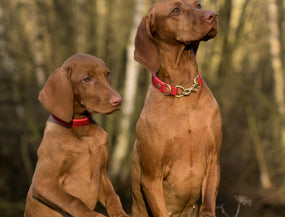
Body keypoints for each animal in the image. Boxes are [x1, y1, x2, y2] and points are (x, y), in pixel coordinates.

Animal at [24, 53, 129, 217]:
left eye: (108, 74)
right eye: (87, 79)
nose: (118, 100)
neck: (81, 130)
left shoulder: (103, 174)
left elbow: (113, 197)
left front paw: (120, 214)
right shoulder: (42, 182)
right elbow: (73, 201)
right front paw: (94, 215)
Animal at [131, 0, 222, 217]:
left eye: (198, 4)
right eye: (176, 10)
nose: (213, 15)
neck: (183, 92)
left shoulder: (213, 160)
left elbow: (208, 205)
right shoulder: (152, 178)